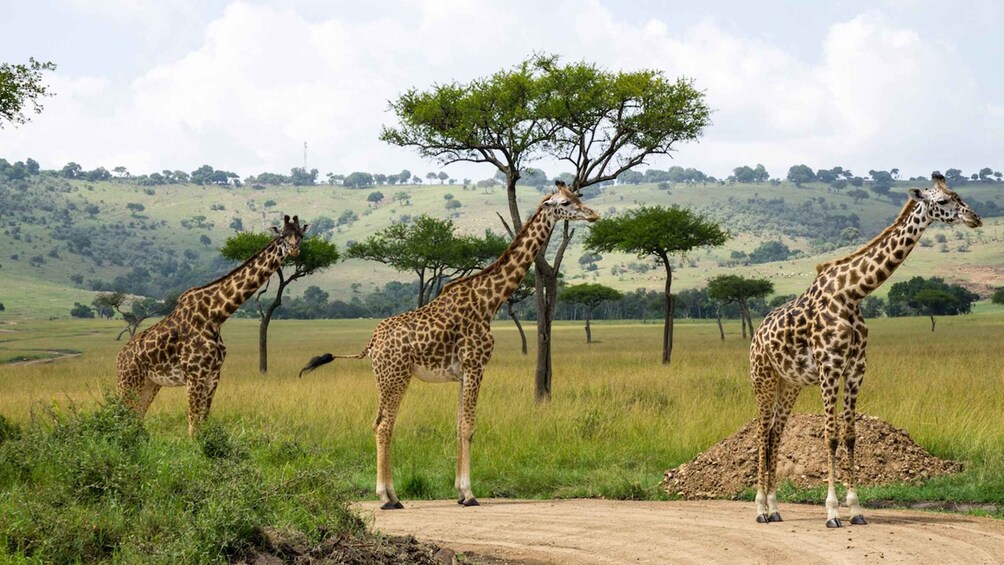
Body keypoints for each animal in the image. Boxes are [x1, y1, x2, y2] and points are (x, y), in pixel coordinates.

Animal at [116, 214, 307, 435]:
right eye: (283, 235)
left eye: (301, 235)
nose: (294, 249)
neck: (216, 316)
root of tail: (119, 358)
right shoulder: (194, 375)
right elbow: (193, 427)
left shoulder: (213, 375)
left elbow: (203, 423)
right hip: (128, 381)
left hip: (150, 383)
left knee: (135, 419)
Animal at [297, 183, 594, 509]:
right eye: (566, 202)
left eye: (578, 197)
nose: (593, 214)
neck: (490, 300)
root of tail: (371, 343)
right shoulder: (476, 364)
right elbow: (469, 427)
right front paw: (470, 494)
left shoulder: (462, 373)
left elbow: (458, 425)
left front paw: (459, 493)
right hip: (396, 376)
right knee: (385, 425)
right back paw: (387, 497)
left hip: (383, 378)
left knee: (378, 423)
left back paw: (393, 496)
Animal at [755, 173, 979, 529]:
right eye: (943, 201)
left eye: (959, 195)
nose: (975, 218)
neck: (853, 294)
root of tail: (756, 335)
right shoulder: (830, 368)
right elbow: (830, 436)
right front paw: (832, 512)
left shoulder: (856, 369)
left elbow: (849, 435)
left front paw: (856, 509)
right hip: (762, 377)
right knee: (762, 433)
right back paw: (760, 509)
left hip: (789, 384)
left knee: (776, 432)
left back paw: (775, 508)